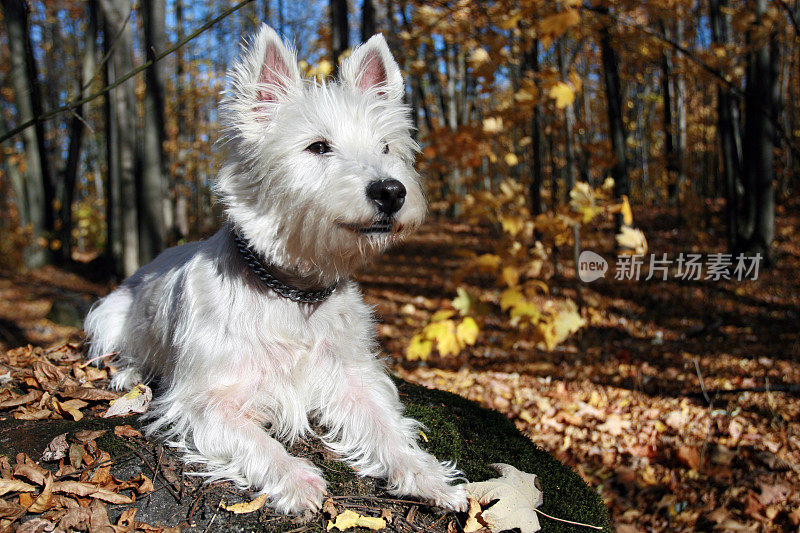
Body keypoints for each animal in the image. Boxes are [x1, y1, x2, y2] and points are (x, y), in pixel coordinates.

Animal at [83, 23, 466, 512]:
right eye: (318, 146)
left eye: (386, 147)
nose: (391, 191)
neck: (295, 291)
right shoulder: (207, 398)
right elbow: (254, 439)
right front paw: (295, 477)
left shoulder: (352, 378)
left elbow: (386, 428)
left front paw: (426, 475)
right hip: (109, 314)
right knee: (118, 352)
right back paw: (129, 375)